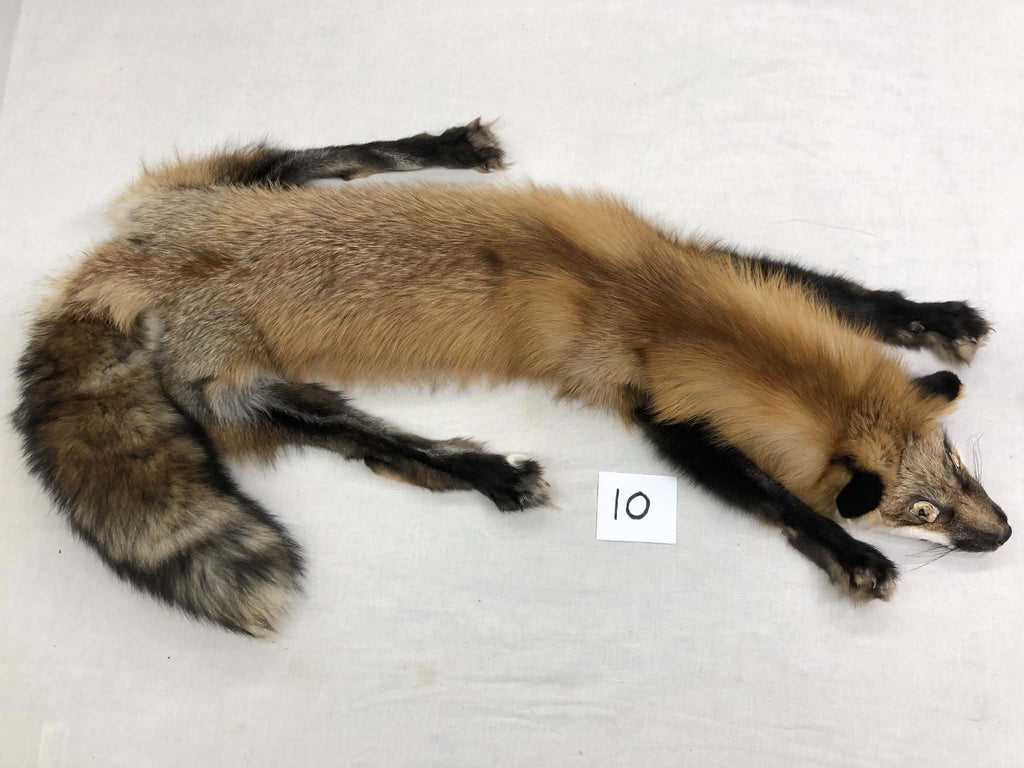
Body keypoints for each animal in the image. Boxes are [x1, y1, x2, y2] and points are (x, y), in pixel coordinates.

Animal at [12, 120, 1010, 636]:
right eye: (919, 514)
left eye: (959, 466)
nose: (1002, 536)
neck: (662, 307)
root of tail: (119, 264)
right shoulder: (657, 412)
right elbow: (768, 496)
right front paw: (850, 556)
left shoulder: (704, 261)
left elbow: (841, 294)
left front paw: (934, 319)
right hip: (242, 389)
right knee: (361, 434)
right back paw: (488, 472)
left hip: (237, 186)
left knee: (324, 157)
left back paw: (450, 144)